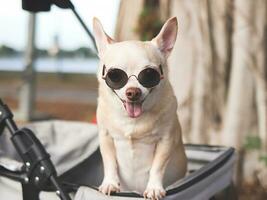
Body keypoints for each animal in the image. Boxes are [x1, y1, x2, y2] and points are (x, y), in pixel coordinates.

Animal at [93, 16, 187, 199]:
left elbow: (157, 168)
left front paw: (154, 188)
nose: (133, 92)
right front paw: (110, 183)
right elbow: (109, 163)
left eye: (149, 74)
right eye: (115, 75)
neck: (131, 120)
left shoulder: (166, 141)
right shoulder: (105, 137)